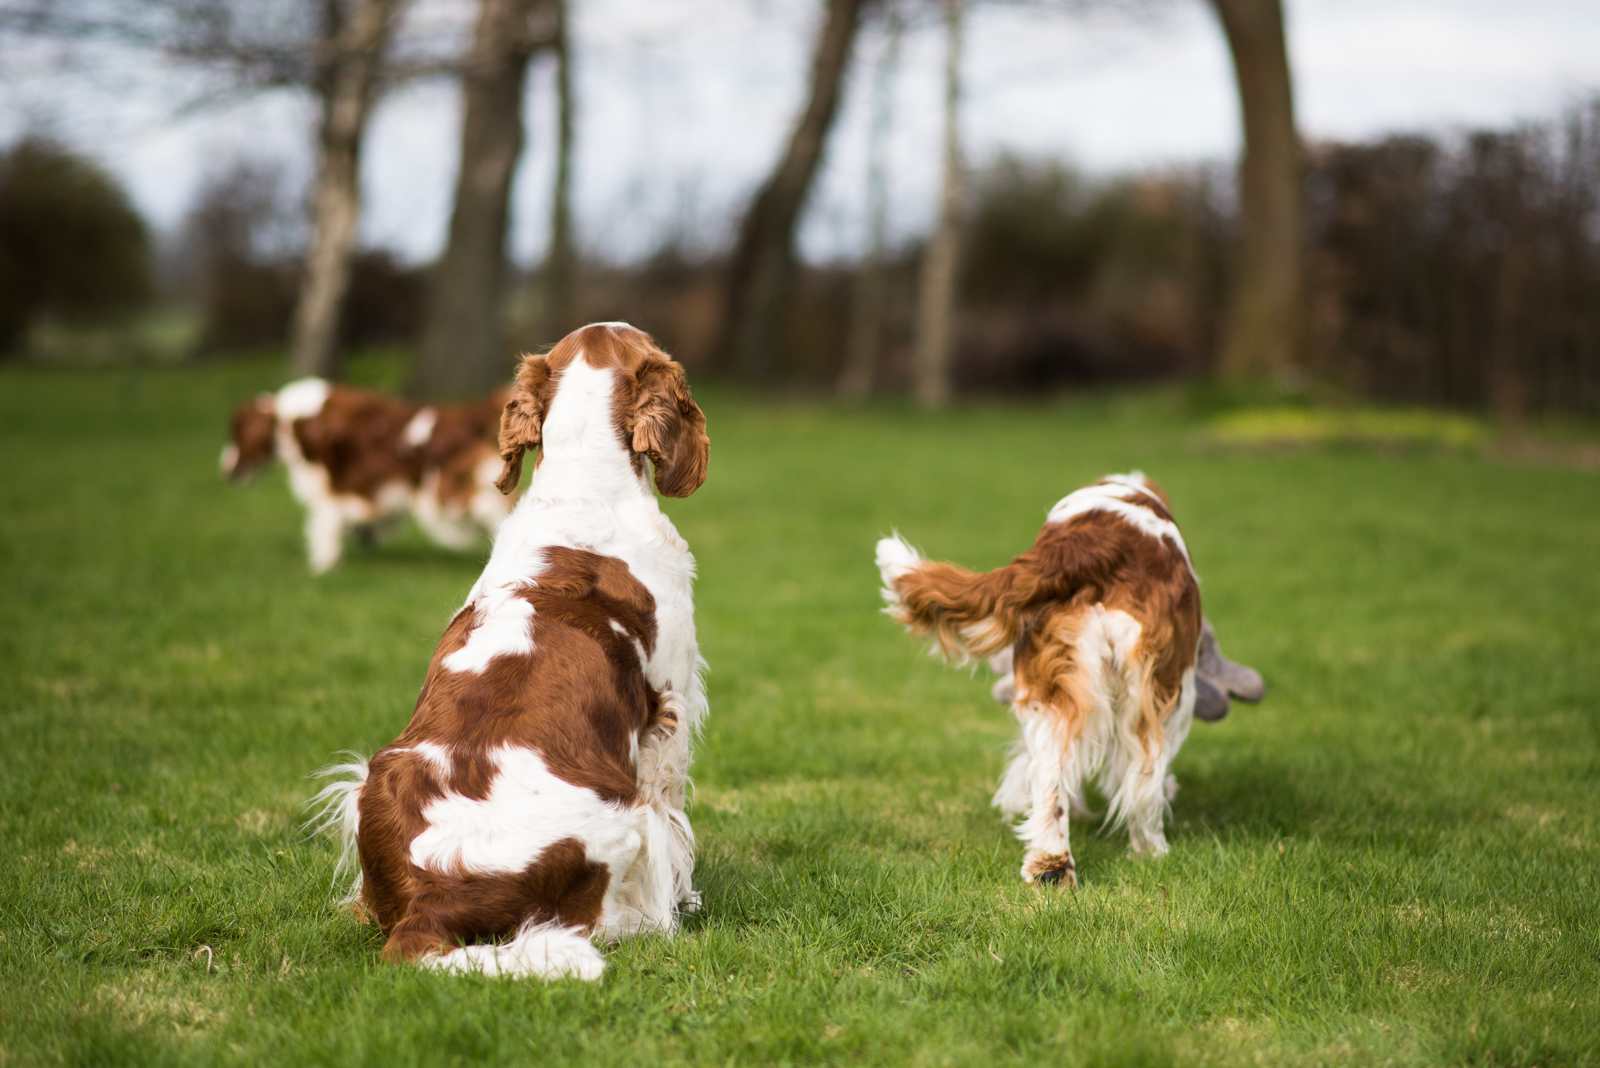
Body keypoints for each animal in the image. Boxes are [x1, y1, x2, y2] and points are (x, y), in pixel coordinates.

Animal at [222, 378, 508, 572]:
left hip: (442, 497)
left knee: (488, 509)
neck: (290, 420)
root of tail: (465, 416)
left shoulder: (333, 488)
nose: (224, 470)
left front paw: (323, 566)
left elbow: (327, 525)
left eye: (236, 436)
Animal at [308, 322, 710, 978]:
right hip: (623, 818)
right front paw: (686, 898)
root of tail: (431, 904)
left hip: (363, 780)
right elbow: (675, 812)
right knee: (611, 921)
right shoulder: (668, 708)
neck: (583, 483)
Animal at [876, 473, 1209, 882]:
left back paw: (1051, 868)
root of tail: (1090, 546)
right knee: (1144, 778)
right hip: (1161, 691)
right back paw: (1152, 852)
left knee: (1052, 779)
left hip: (1050, 687)